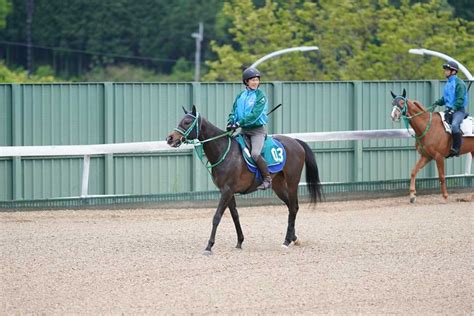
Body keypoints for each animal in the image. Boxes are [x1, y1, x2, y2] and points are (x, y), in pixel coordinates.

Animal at [166, 105, 322, 254]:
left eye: (187, 122)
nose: (170, 138)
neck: (225, 151)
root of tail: (296, 142)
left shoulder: (227, 191)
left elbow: (217, 217)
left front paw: (209, 246)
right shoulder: (227, 192)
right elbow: (235, 215)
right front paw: (240, 241)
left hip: (292, 182)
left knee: (294, 208)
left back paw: (286, 241)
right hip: (278, 185)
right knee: (291, 207)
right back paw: (293, 238)